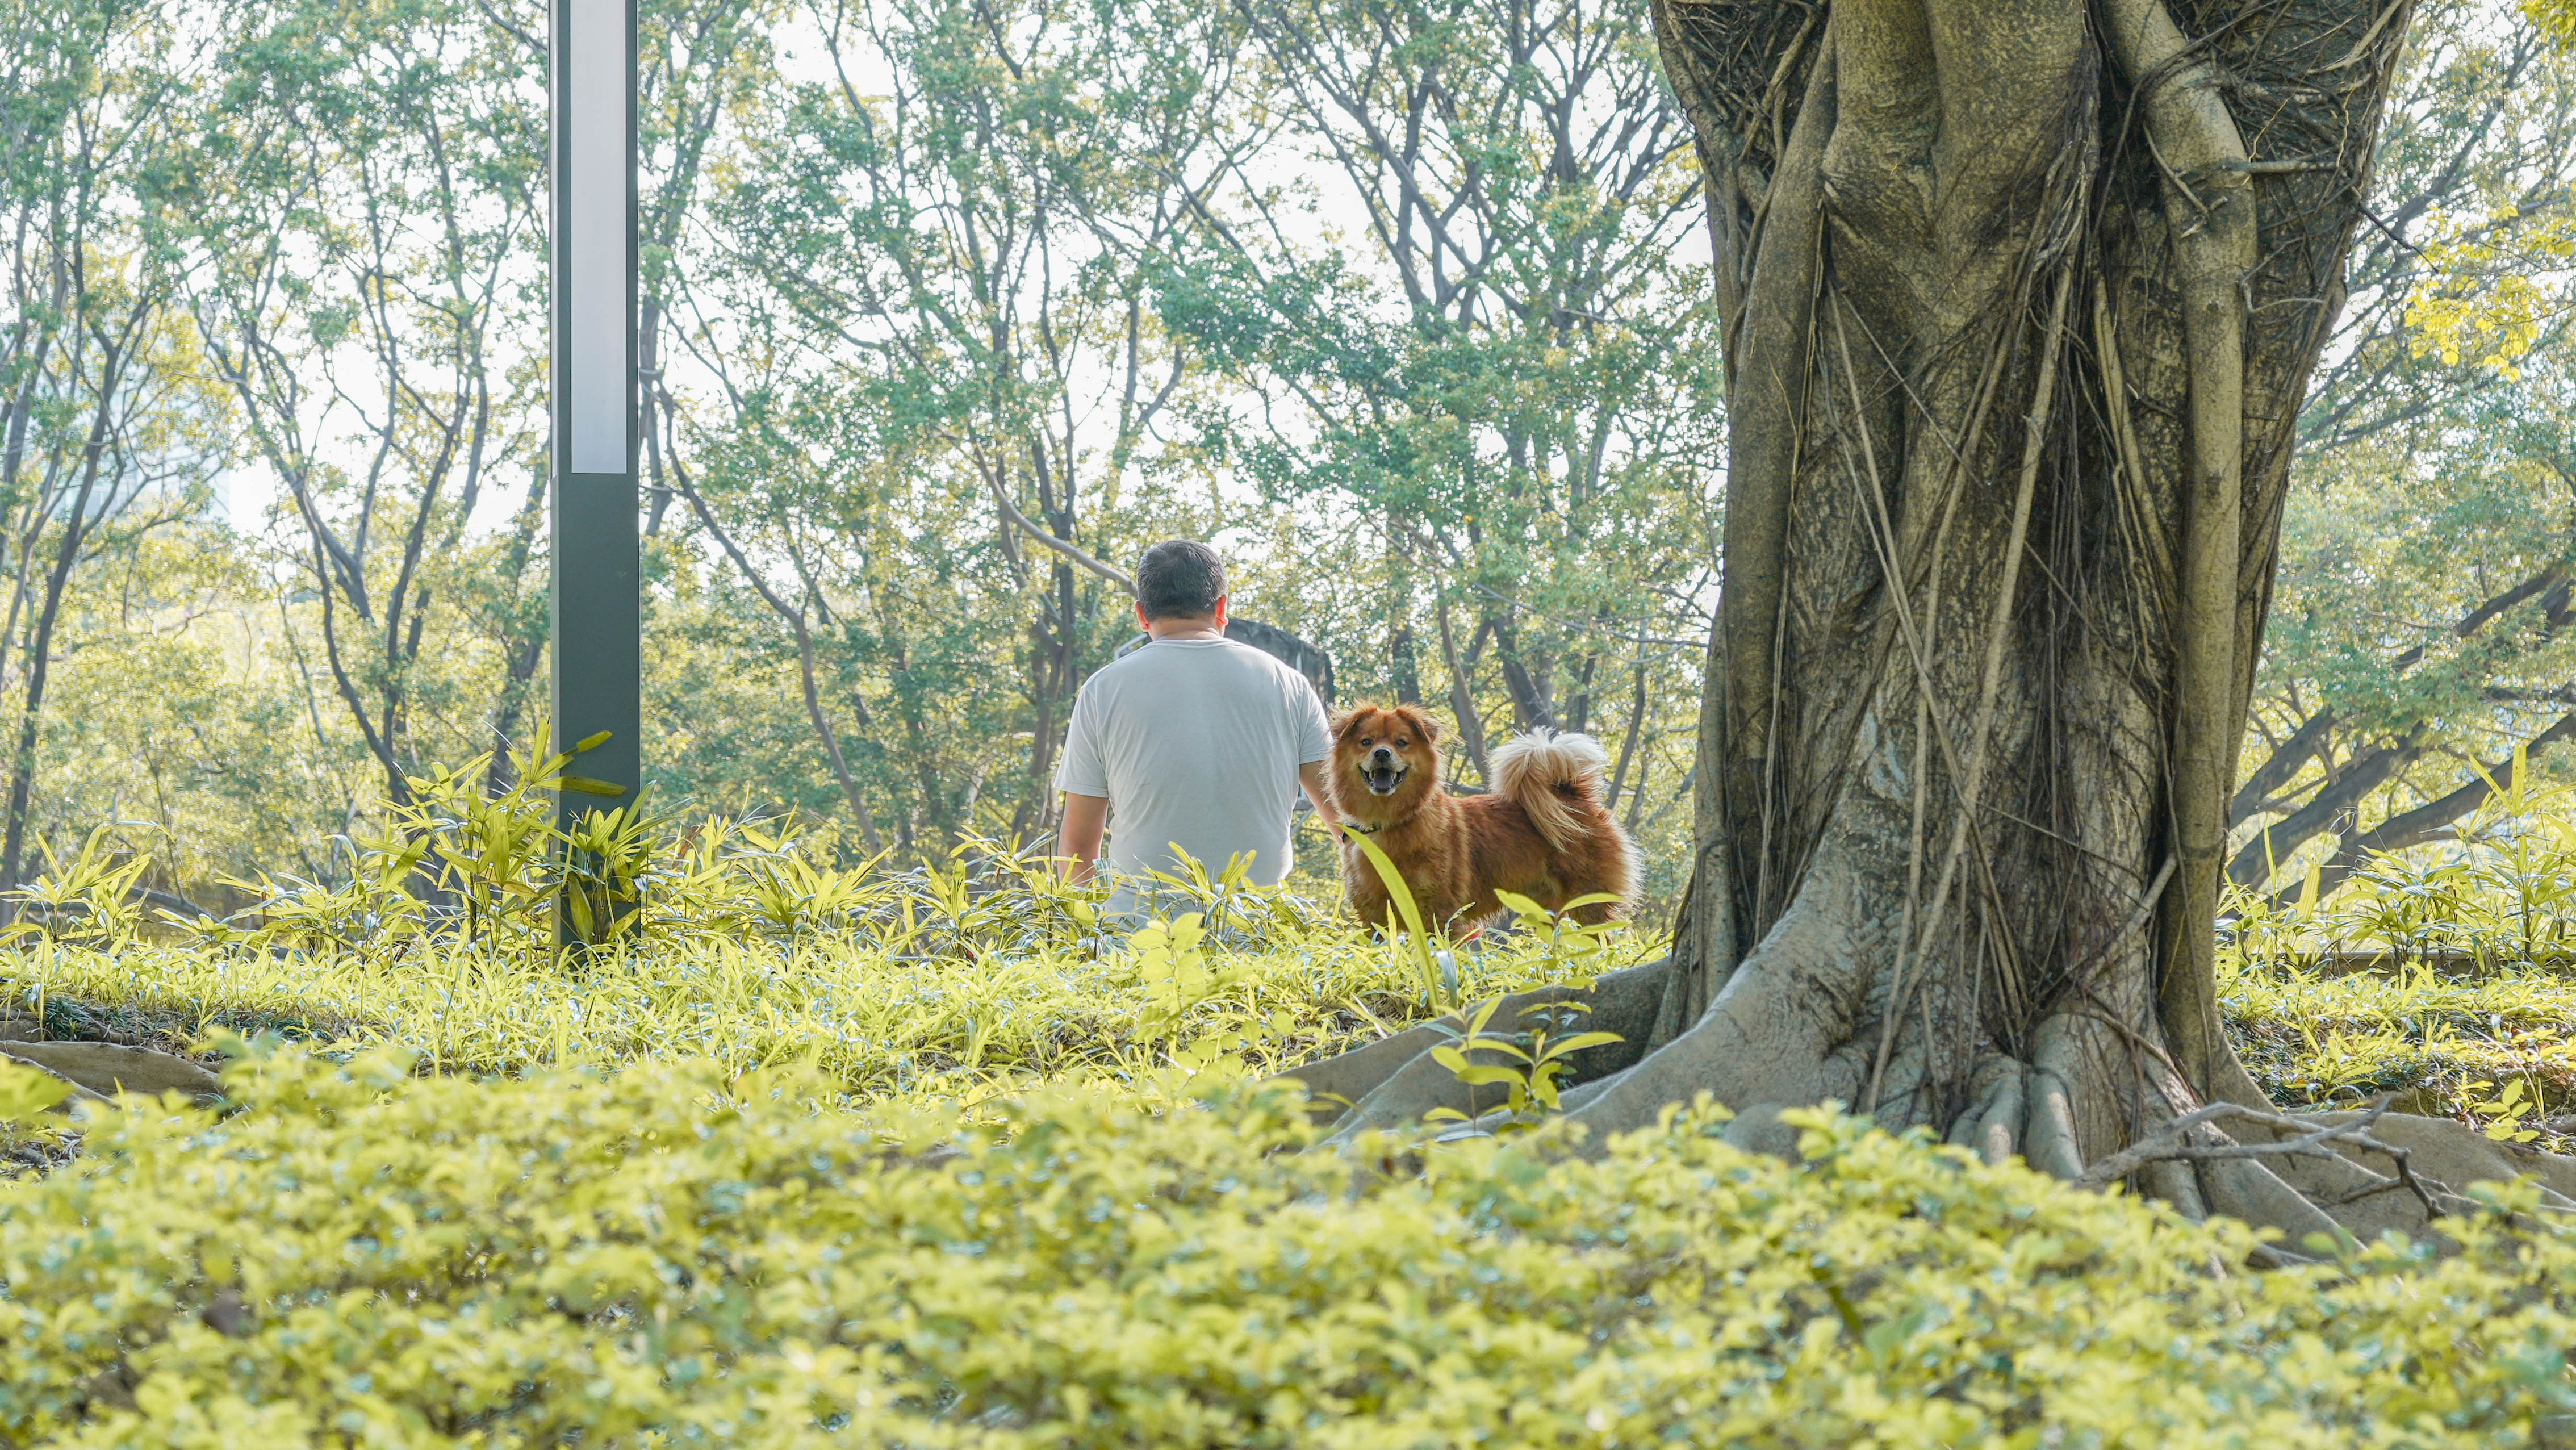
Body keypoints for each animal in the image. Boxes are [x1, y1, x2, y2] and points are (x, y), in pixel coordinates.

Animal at [1329, 705, 1628, 937]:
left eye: (1401, 743)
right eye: (1366, 742)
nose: (1382, 753)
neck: (1389, 822)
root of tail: (1570, 795)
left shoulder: (1439, 914)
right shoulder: (1375, 919)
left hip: (1587, 903)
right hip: (1544, 911)